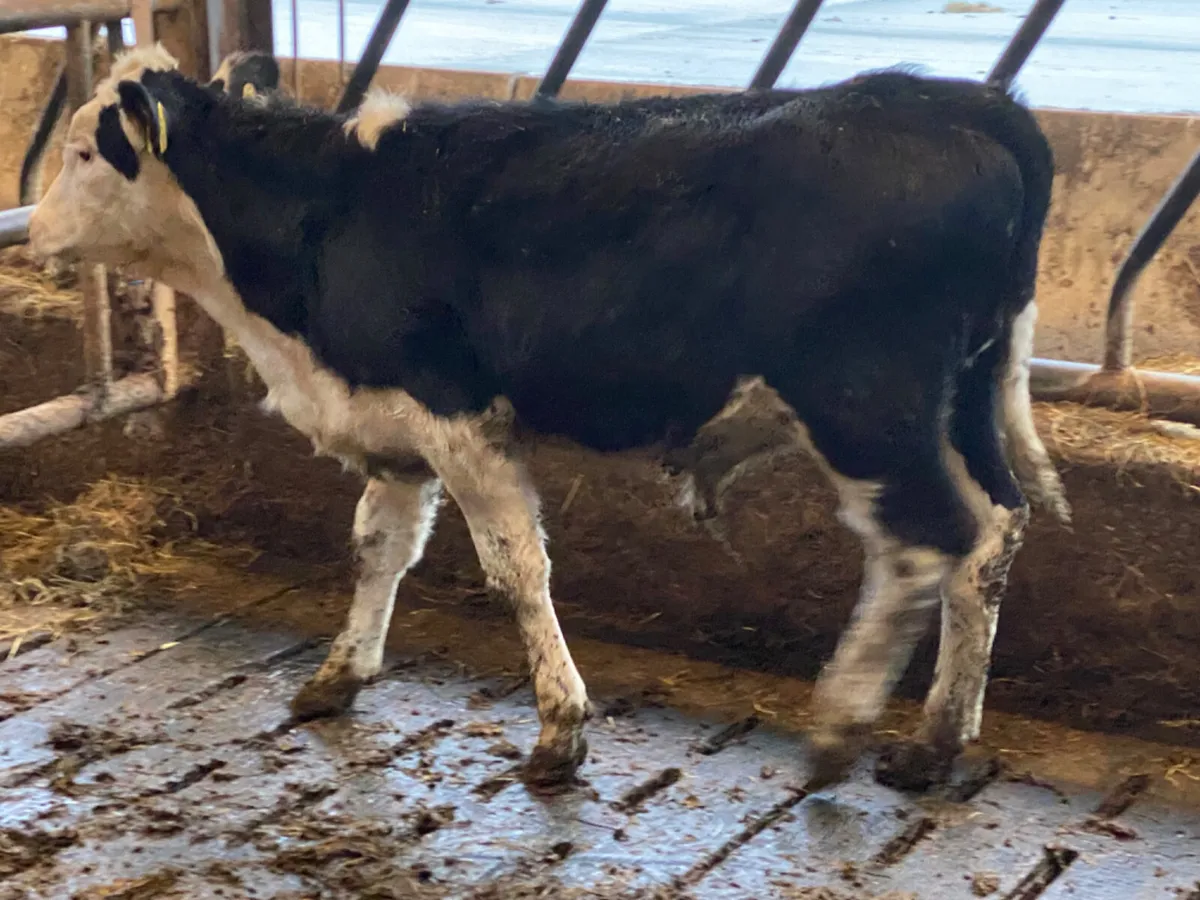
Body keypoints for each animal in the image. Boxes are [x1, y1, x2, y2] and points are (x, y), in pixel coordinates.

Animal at [23, 45, 1065, 792]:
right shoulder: (394, 429)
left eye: (84, 152)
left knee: (923, 542)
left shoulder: (456, 415)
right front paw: (339, 674)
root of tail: (952, 100)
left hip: (865, 402)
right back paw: (934, 743)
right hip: (963, 398)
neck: (324, 222)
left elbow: (516, 568)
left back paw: (843, 723)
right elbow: (377, 549)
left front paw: (562, 731)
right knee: (993, 533)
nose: (30, 232)